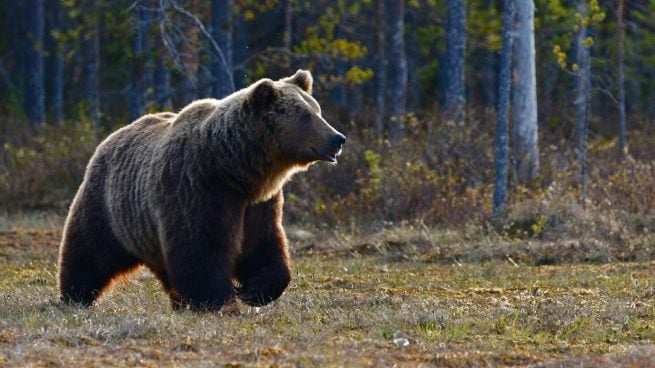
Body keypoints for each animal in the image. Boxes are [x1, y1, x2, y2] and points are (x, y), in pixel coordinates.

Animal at [57, 69, 346, 310]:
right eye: (305, 116)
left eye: (318, 110)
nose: (338, 138)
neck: (235, 169)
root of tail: (112, 136)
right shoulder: (197, 188)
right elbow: (201, 248)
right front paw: (218, 300)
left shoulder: (258, 203)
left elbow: (262, 245)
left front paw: (254, 291)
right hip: (109, 206)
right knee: (88, 251)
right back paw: (75, 296)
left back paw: (177, 301)